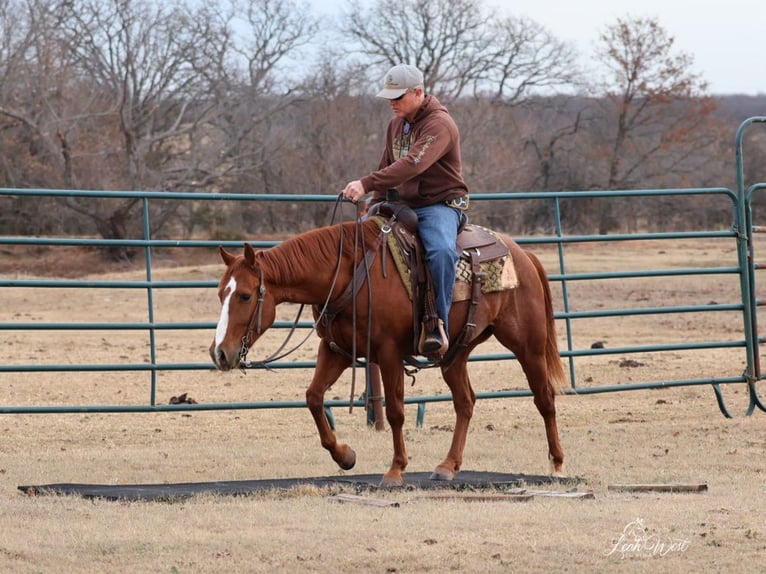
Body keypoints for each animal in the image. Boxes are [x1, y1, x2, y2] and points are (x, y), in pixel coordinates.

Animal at [209, 217, 565, 486]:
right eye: (220, 293)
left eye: (244, 295)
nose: (220, 353)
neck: (347, 276)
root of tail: (522, 253)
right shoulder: (336, 351)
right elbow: (313, 397)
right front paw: (345, 456)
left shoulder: (389, 352)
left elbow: (395, 411)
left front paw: (395, 470)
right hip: (456, 352)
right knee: (465, 402)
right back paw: (448, 466)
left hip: (528, 345)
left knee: (544, 398)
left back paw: (558, 464)